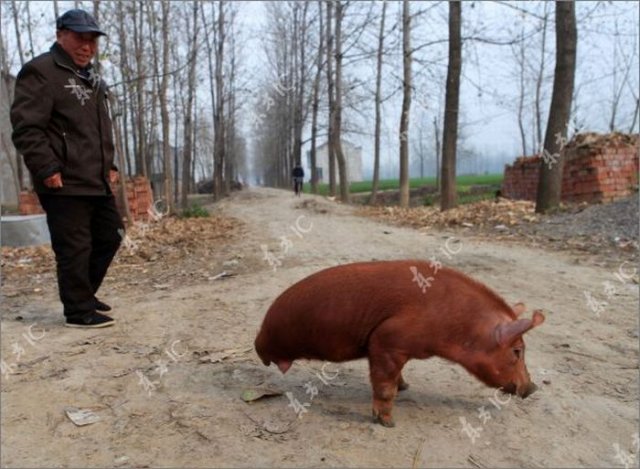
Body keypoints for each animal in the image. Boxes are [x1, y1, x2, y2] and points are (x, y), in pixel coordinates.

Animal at [255, 262, 544, 426]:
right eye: (517, 351)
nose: (532, 388)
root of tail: (259, 338)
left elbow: (397, 379)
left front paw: (406, 386)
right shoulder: (386, 341)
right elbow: (385, 387)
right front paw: (388, 423)